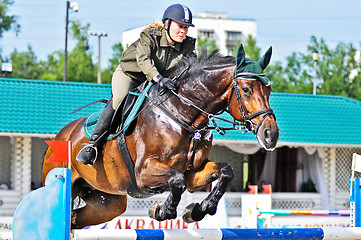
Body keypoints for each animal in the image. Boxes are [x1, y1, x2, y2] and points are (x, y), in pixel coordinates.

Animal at [41, 44, 278, 230]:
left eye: (269, 90)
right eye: (246, 89)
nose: (271, 135)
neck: (182, 114)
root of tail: (62, 134)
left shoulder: (194, 173)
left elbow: (225, 172)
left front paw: (197, 210)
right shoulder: (143, 171)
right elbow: (177, 180)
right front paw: (163, 211)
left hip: (108, 203)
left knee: (75, 219)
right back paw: (87, 152)